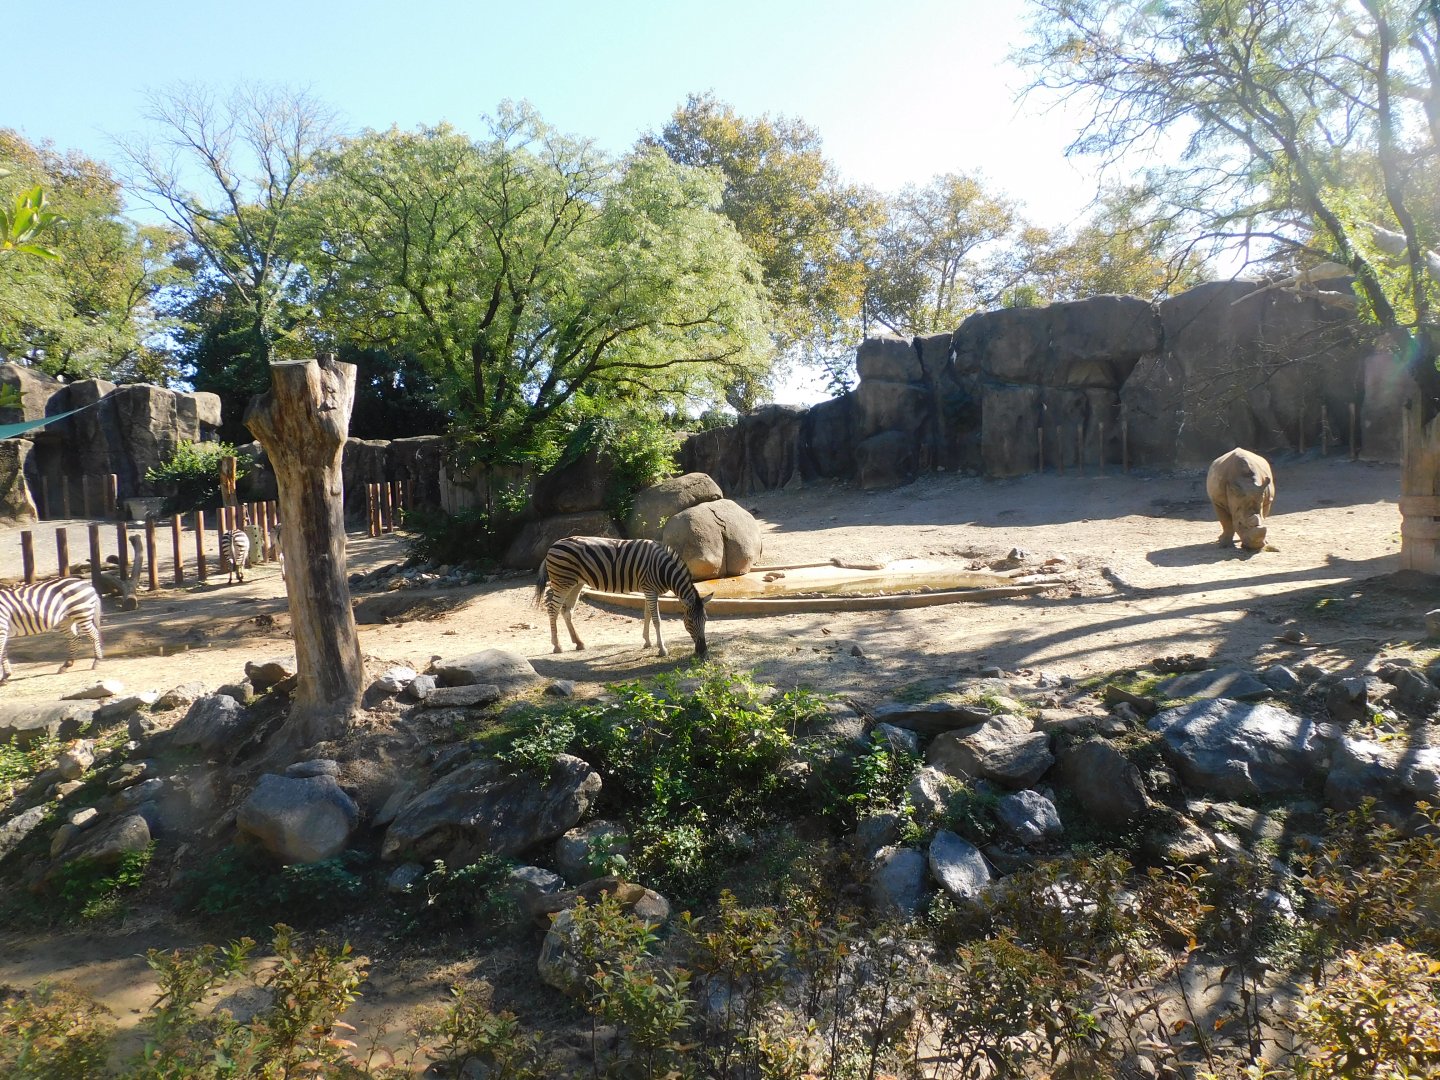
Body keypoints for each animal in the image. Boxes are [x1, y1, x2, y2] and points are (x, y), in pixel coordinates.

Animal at [535, 536, 709, 659]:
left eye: (705, 620)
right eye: (690, 621)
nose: (703, 650)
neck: (663, 569)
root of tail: (553, 545)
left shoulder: (648, 590)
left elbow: (647, 615)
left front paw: (647, 642)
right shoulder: (650, 590)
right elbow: (657, 620)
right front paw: (662, 649)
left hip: (576, 583)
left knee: (566, 611)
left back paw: (578, 642)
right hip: (562, 582)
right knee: (553, 609)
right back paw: (557, 646)